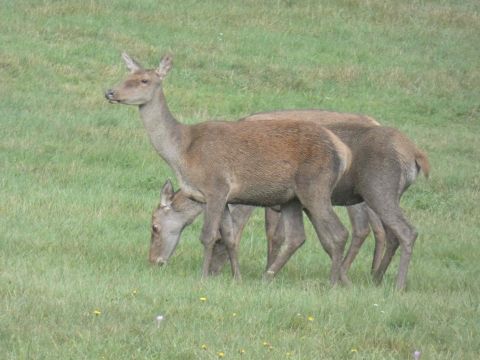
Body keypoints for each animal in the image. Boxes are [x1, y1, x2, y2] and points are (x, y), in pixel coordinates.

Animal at [105, 52, 352, 286]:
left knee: (339, 233)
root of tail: (343, 152)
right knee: (297, 236)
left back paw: (332, 283)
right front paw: (237, 277)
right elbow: (230, 236)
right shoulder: (224, 197)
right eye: (126, 76)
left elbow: (208, 235)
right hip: (292, 198)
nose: (110, 92)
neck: (183, 153)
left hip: (315, 186)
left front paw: (203, 276)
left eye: (144, 80)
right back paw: (267, 277)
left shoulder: (215, 186)